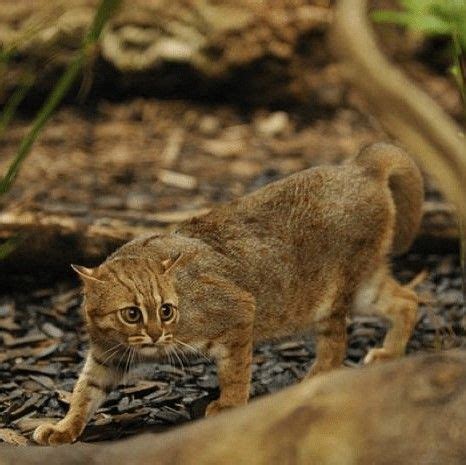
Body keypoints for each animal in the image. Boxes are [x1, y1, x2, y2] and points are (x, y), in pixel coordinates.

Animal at [34, 143, 424, 444]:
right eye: (132, 313)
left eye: (166, 310)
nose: (157, 336)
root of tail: (359, 166)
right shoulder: (106, 354)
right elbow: (84, 390)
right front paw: (64, 428)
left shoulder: (240, 310)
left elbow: (235, 370)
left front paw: (230, 405)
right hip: (364, 287)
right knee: (409, 300)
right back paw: (391, 353)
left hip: (333, 295)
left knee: (337, 344)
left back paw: (311, 382)